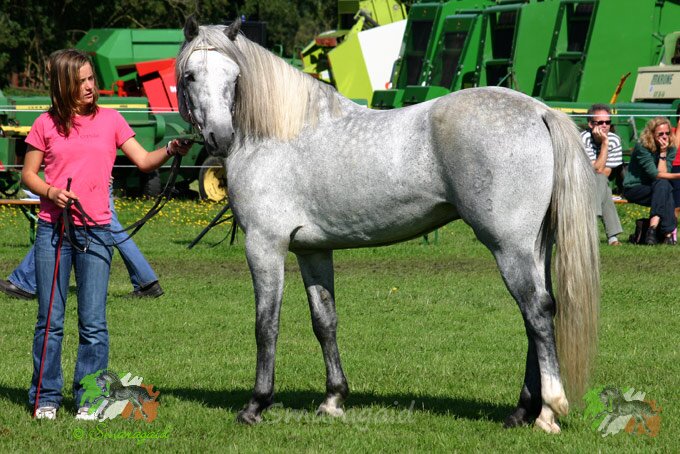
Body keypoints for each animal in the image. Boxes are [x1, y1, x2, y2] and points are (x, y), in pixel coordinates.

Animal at [176, 17, 600, 433]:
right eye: (191, 75)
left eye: (234, 75)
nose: (220, 137)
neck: (277, 133)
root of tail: (540, 111)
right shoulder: (312, 250)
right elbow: (324, 321)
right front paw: (333, 400)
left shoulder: (265, 246)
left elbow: (266, 324)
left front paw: (255, 405)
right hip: (535, 248)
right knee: (538, 313)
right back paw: (522, 412)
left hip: (509, 247)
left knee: (537, 311)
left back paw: (548, 411)